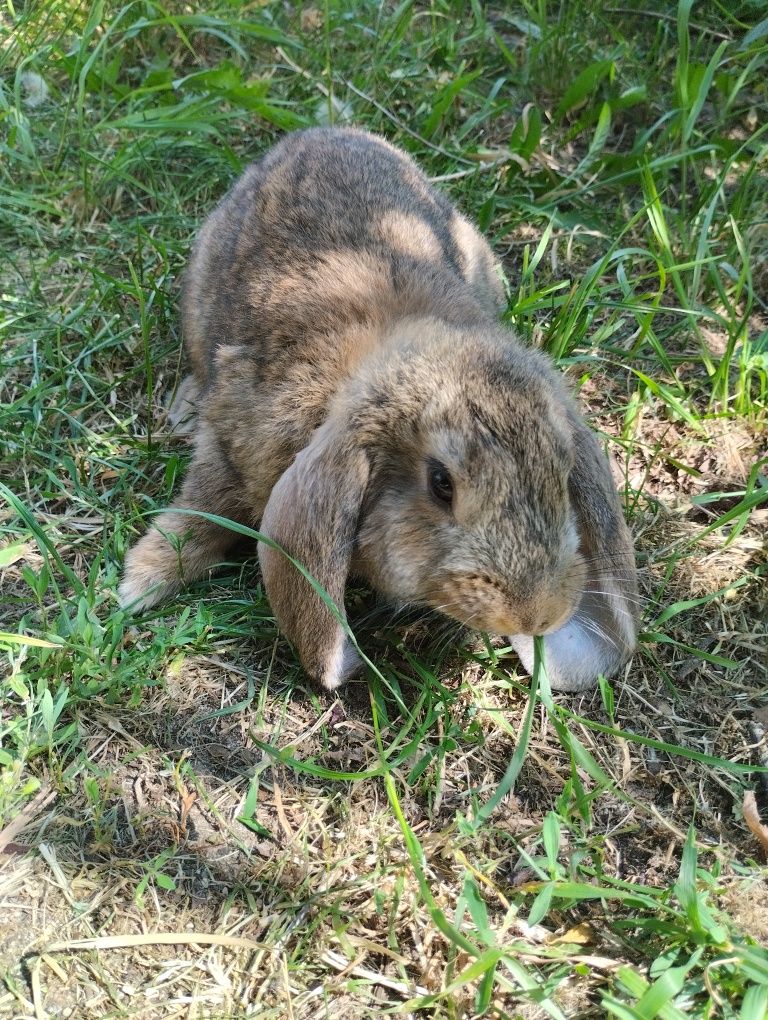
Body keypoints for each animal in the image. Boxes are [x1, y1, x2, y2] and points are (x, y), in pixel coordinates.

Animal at [118, 123, 636, 689]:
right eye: (441, 483)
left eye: (562, 474)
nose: (538, 613)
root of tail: (320, 132)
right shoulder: (229, 443)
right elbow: (200, 512)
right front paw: (137, 586)